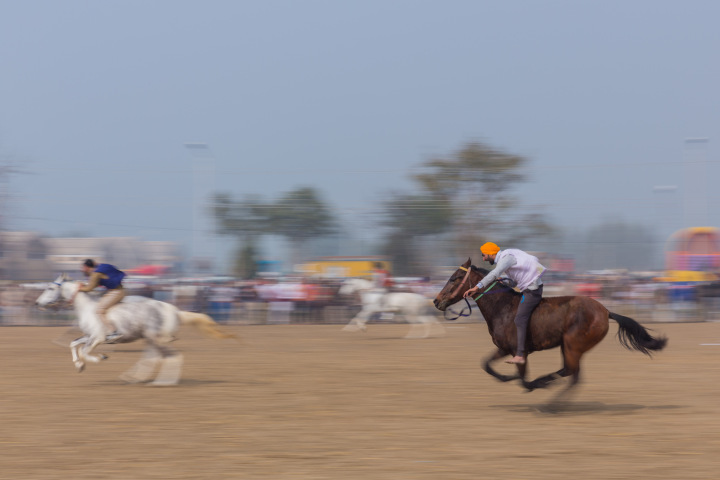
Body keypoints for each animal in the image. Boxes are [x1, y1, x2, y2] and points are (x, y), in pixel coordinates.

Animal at [36, 274, 233, 386]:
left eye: (50, 288)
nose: (37, 303)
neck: (88, 308)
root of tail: (175, 311)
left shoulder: (97, 338)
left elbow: (85, 351)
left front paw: (100, 358)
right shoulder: (88, 336)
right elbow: (73, 344)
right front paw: (79, 365)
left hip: (158, 339)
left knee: (172, 357)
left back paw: (163, 382)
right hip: (151, 339)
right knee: (152, 358)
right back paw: (134, 378)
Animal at [430, 258, 668, 402]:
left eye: (453, 278)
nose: (436, 301)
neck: (502, 307)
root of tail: (606, 310)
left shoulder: (519, 351)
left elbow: (523, 380)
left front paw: (528, 383)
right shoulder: (504, 348)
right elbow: (486, 365)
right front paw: (507, 378)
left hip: (573, 344)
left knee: (572, 374)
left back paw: (550, 401)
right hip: (568, 346)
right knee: (570, 373)